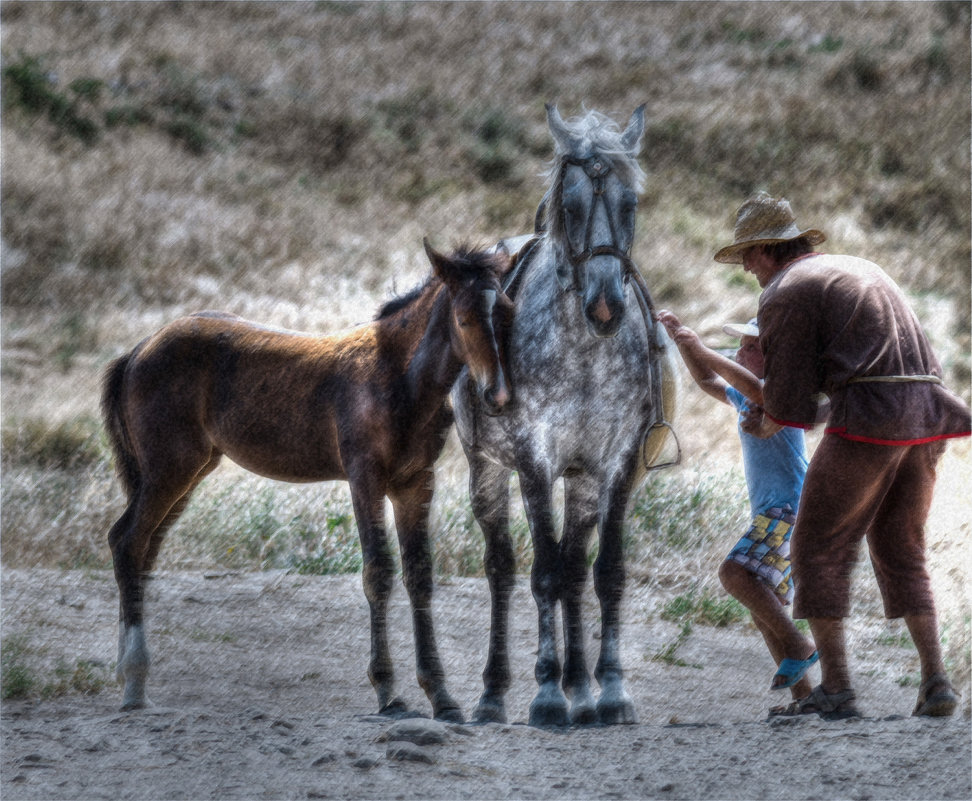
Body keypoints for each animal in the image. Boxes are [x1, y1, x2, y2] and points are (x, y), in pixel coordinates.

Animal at [454, 106, 676, 724]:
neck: (585, 353)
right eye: (570, 208)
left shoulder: (617, 464)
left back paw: (581, 689)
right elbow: (543, 572)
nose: (604, 307)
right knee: (502, 568)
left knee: (577, 567)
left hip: (581, 480)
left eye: (631, 205)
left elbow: (606, 573)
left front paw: (611, 690)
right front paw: (547, 694)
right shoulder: (534, 460)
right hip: (487, 468)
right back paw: (496, 694)